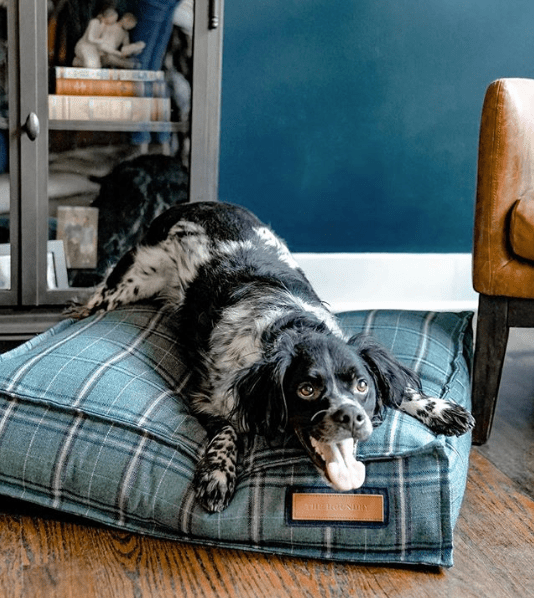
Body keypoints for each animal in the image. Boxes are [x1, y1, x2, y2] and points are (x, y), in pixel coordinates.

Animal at [72, 204, 478, 512]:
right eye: (306, 390)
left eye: (362, 385)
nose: (350, 417)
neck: (288, 325)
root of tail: (188, 205)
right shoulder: (209, 397)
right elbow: (227, 429)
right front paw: (218, 474)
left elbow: (399, 388)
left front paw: (439, 408)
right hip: (131, 281)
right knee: (94, 300)